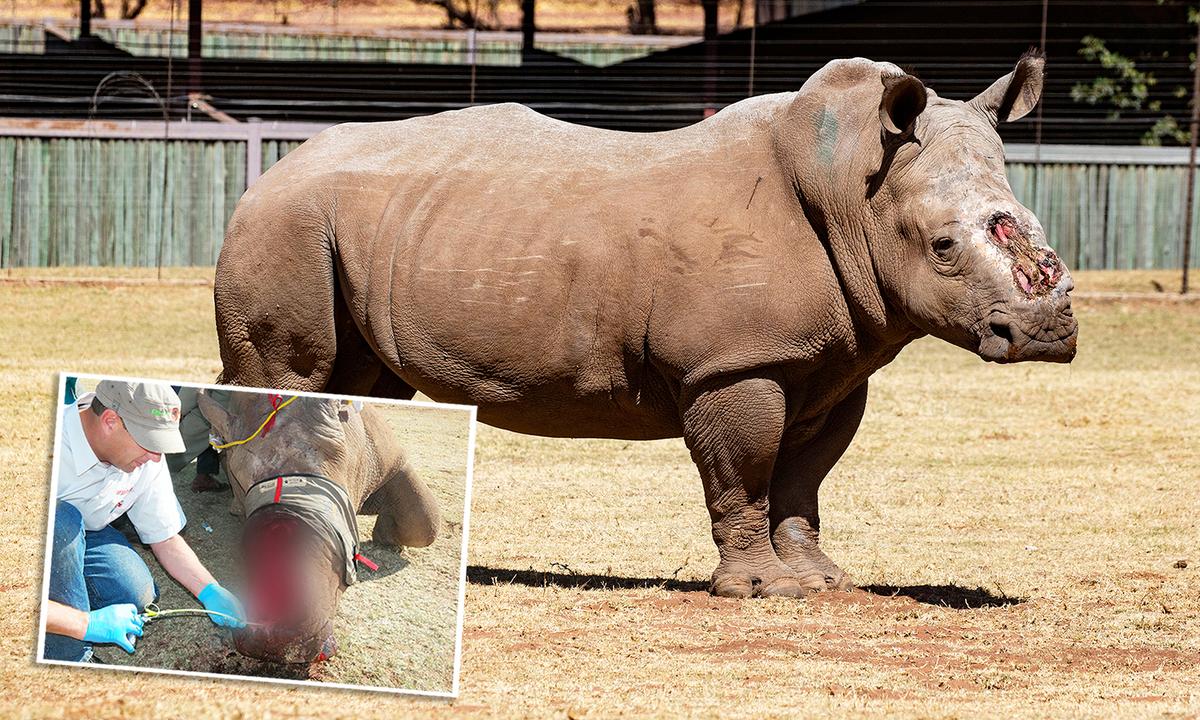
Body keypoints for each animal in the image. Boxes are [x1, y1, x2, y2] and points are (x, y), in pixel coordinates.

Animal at [214, 54, 1076, 599]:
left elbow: (804, 477)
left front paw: (822, 582)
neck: (856, 189)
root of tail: (271, 167)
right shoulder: (736, 362)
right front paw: (762, 591)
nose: (1047, 333)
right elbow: (746, 473)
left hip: (355, 226)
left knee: (357, 382)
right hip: (287, 220)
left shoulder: (832, 361)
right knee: (295, 373)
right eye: (943, 248)